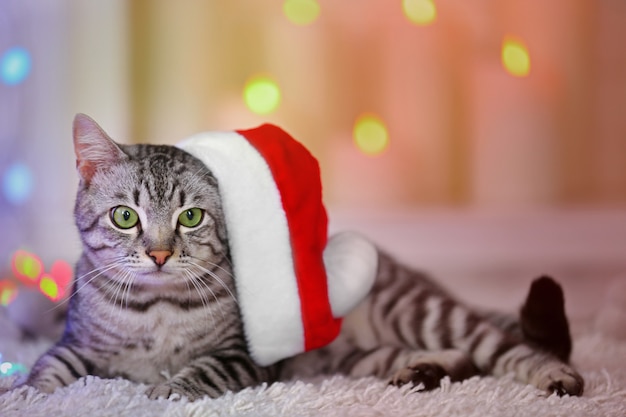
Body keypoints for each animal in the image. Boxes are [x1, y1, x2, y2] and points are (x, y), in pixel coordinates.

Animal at [20, 114, 584, 400]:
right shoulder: (75, 345)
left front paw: (165, 392)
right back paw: (421, 372)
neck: (154, 312)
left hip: (419, 312)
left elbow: (202, 371)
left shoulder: (244, 354)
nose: (159, 254)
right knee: (456, 359)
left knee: (505, 347)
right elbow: (48, 369)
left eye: (191, 217)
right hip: (358, 355)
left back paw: (555, 377)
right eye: (124, 217)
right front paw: (27, 395)